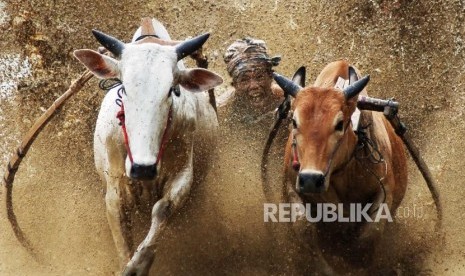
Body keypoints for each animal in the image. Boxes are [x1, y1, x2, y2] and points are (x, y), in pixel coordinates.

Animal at [73, 18, 222, 274]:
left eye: (171, 90)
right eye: (123, 88)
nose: (143, 168)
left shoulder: (183, 175)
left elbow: (162, 210)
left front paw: (139, 265)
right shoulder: (114, 189)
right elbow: (123, 240)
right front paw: (127, 265)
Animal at [272, 59, 406, 272]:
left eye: (339, 124)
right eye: (294, 121)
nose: (311, 179)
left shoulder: (385, 191)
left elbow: (369, 235)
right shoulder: (293, 186)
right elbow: (304, 228)